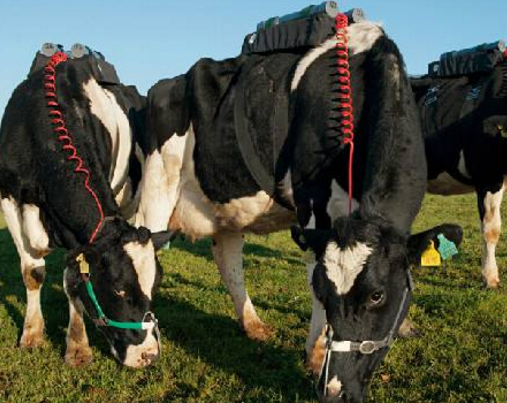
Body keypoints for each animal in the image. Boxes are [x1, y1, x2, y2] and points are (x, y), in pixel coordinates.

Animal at [0, 48, 172, 370]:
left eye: (156, 285)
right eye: (118, 288)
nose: (148, 355)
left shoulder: (79, 233)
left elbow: (73, 279)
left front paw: (77, 347)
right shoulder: (9, 198)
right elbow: (32, 272)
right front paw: (31, 335)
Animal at [137, 21, 462, 403]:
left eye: (377, 295)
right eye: (327, 293)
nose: (335, 391)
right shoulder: (313, 206)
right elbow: (311, 273)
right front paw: (316, 354)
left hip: (224, 205)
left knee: (228, 260)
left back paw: (253, 324)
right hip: (157, 185)